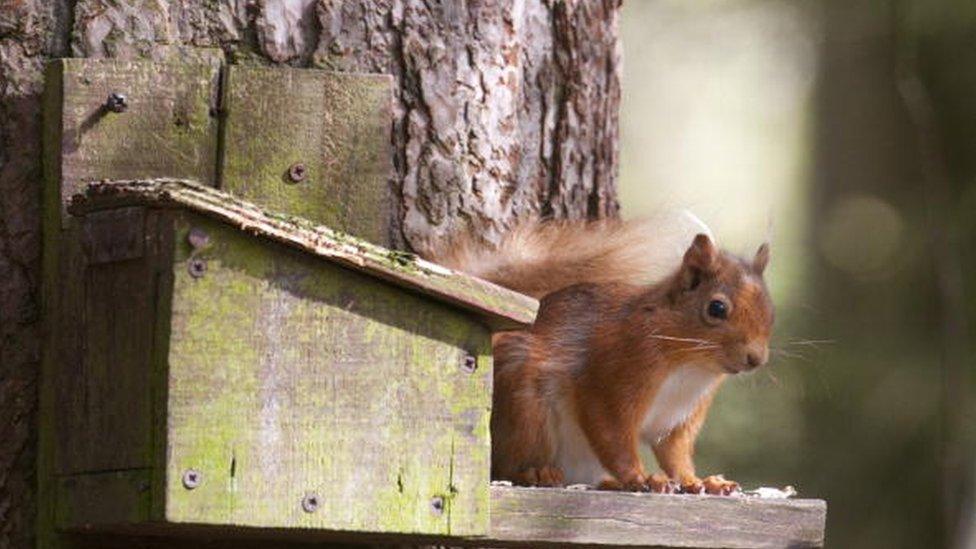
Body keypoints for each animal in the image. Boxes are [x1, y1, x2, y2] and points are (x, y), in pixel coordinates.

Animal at [430, 215, 772, 496]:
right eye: (717, 308)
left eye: (769, 310)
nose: (756, 359)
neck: (690, 366)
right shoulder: (612, 374)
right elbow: (612, 434)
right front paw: (641, 478)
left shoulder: (679, 418)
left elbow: (675, 453)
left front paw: (699, 482)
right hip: (525, 409)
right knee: (507, 465)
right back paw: (537, 473)